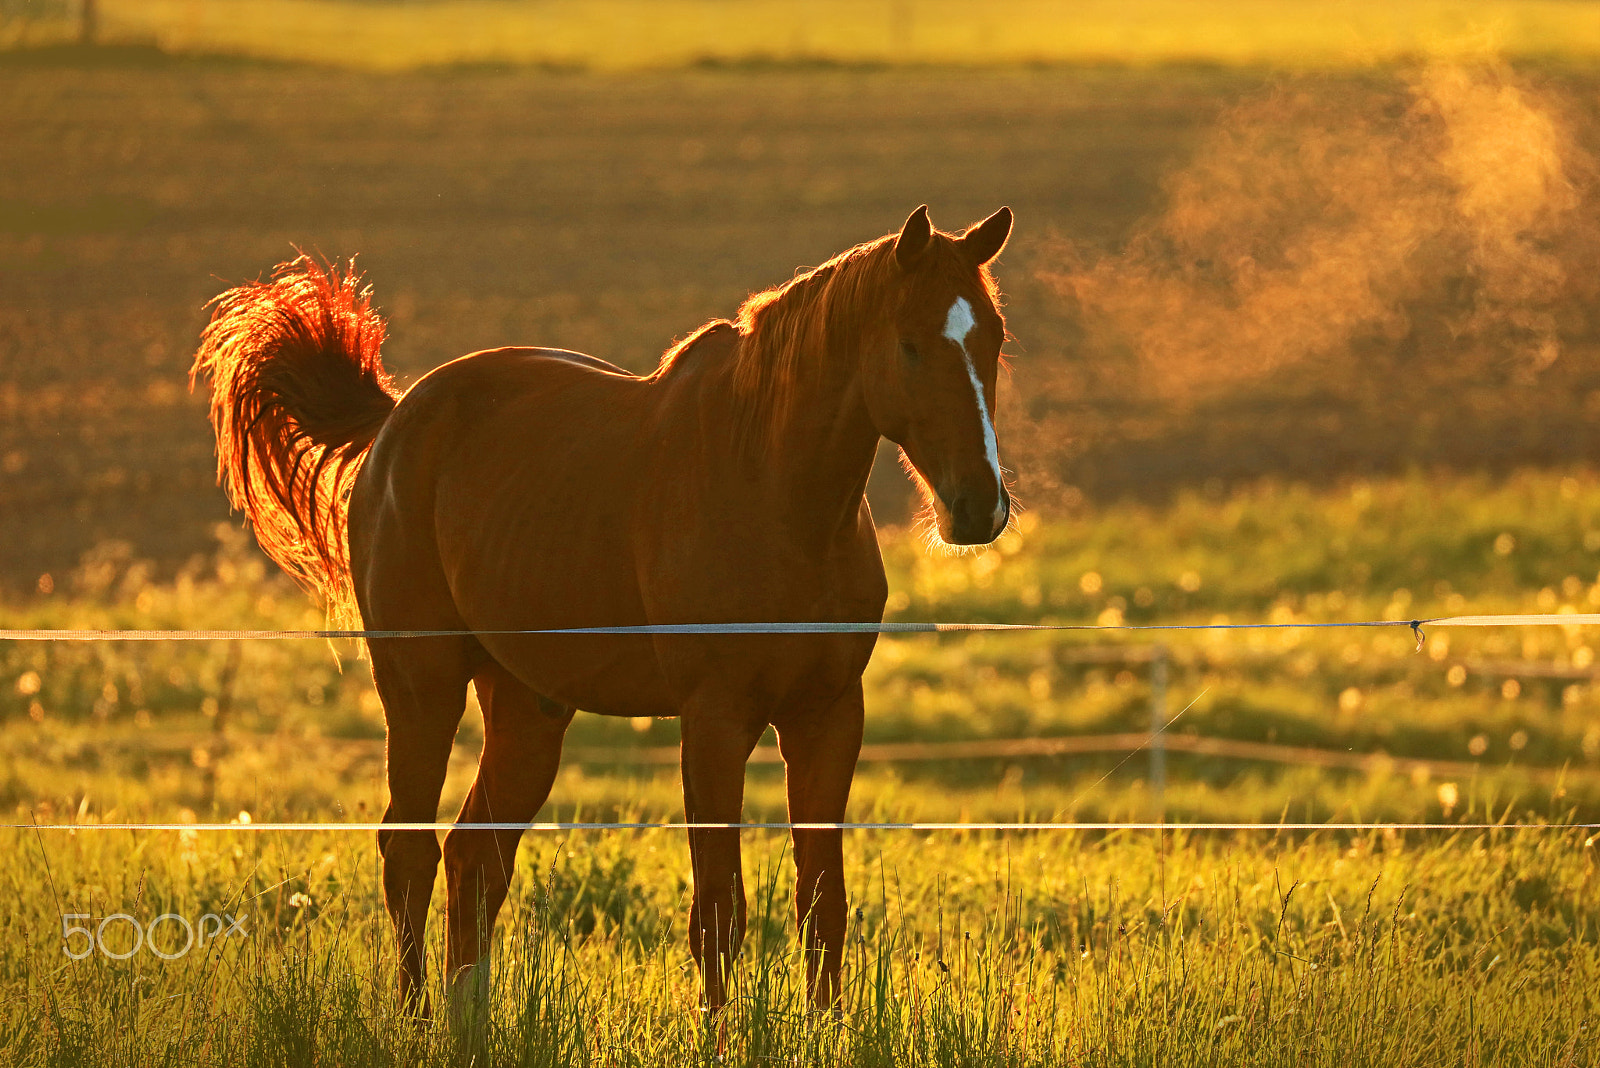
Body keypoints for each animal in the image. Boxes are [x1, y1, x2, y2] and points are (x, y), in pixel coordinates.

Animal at [190, 204, 1011, 1016]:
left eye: (993, 340)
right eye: (910, 345)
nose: (978, 507)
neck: (775, 493)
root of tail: (397, 423)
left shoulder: (829, 715)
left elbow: (823, 908)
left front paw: (826, 1031)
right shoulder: (714, 719)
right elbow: (719, 913)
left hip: (527, 706)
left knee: (474, 855)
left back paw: (467, 1023)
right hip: (421, 684)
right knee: (410, 850)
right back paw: (416, 1019)